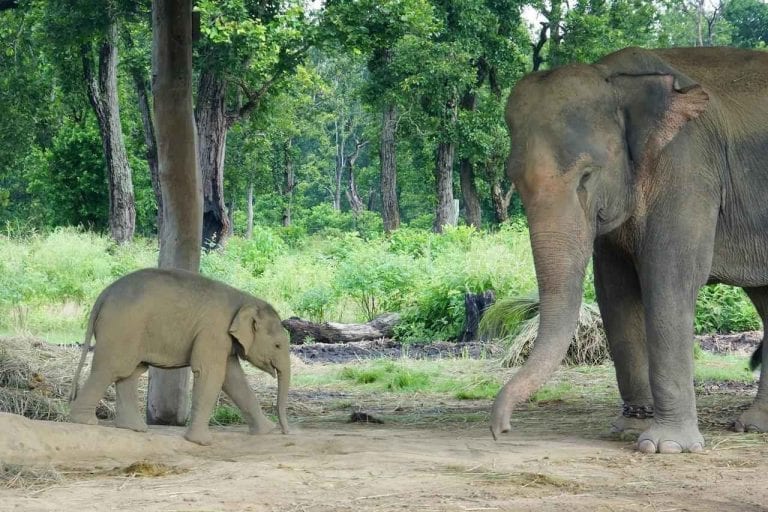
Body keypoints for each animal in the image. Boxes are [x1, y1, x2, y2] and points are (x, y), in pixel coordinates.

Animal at [68, 268, 292, 444]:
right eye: (278, 345)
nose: (285, 432)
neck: (245, 300)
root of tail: (103, 295)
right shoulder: (213, 332)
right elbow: (211, 374)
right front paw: (201, 442)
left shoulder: (224, 340)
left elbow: (233, 378)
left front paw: (266, 431)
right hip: (121, 328)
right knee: (111, 369)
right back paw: (84, 421)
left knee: (130, 372)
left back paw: (134, 428)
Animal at [492, 48, 768, 454]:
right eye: (514, 179)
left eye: (587, 175)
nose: (501, 430)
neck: (616, 78)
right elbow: (615, 291)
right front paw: (628, 428)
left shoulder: (687, 168)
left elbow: (670, 279)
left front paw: (665, 447)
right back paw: (754, 425)